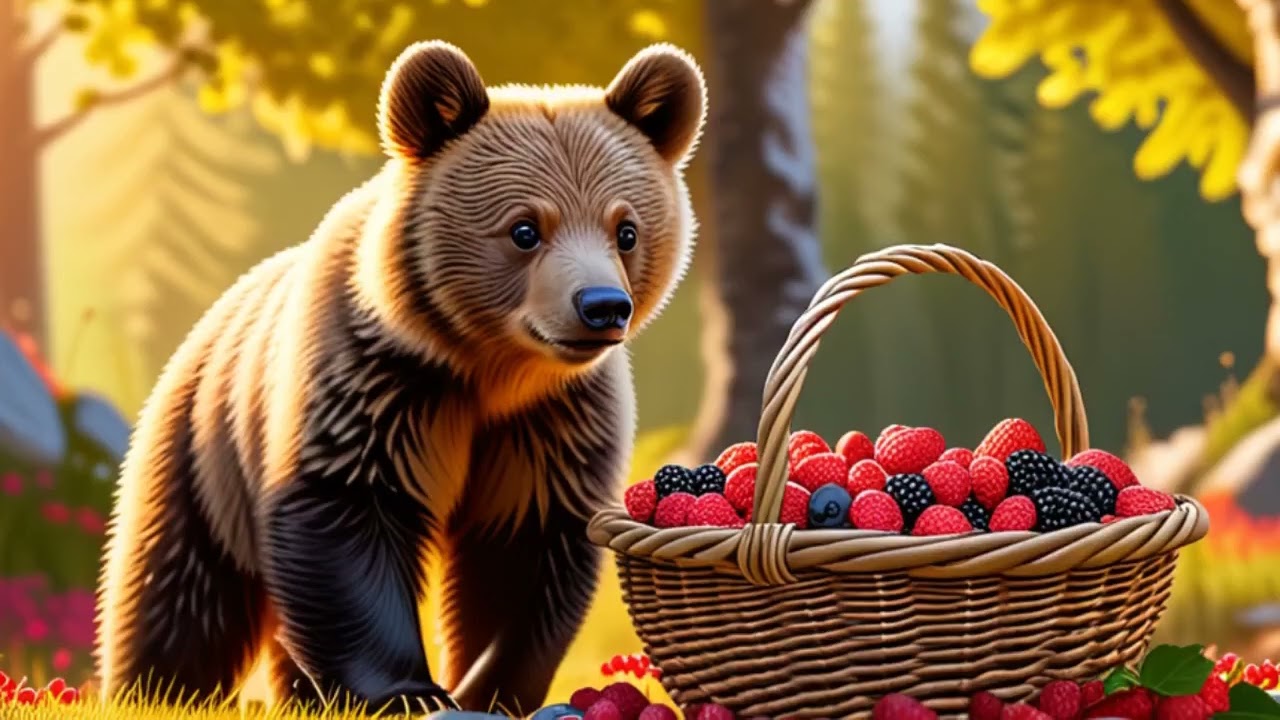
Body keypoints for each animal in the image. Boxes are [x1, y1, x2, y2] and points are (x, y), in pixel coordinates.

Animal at [93, 39, 705, 715]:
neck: (488, 367)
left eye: (626, 229)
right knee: (178, 584)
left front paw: (488, 687)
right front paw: (410, 691)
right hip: (203, 448)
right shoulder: (375, 382)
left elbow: (523, 548)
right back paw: (156, 689)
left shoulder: (551, 421)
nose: (601, 306)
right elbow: (350, 514)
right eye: (524, 228)